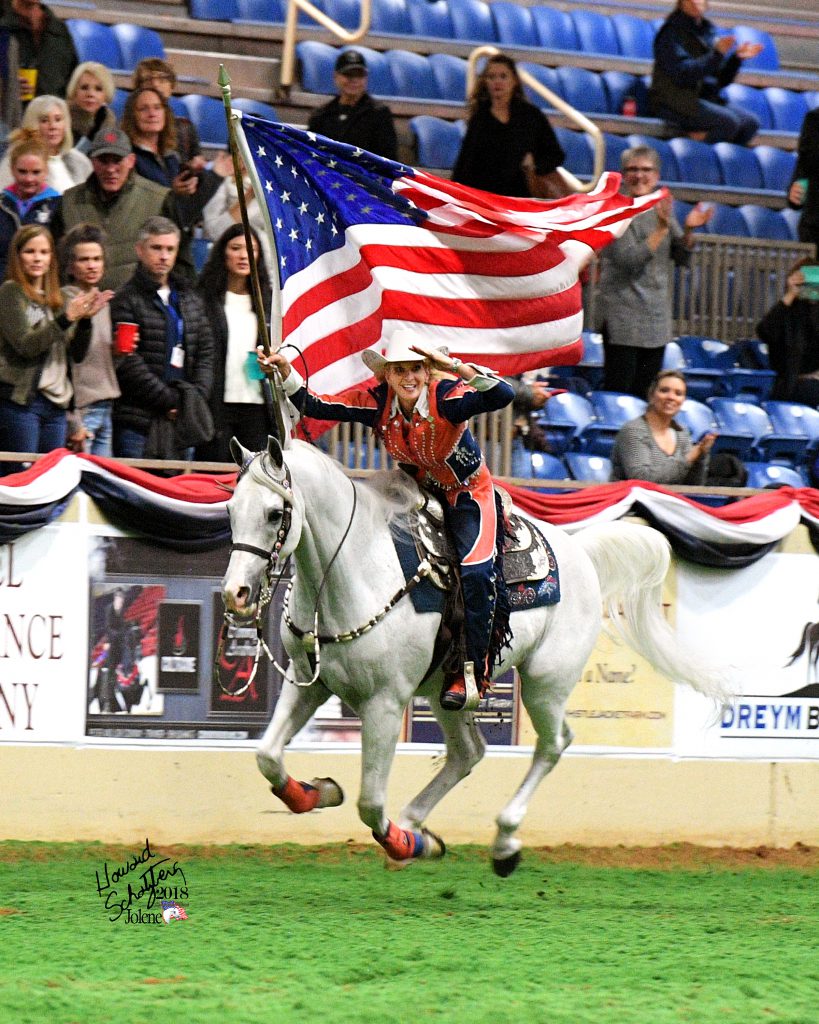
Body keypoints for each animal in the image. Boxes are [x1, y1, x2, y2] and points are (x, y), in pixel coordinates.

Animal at [219, 436, 728, 876]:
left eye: (274, 512)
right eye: (230, 508)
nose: (235, 594)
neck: (357, 570)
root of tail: (579, 552)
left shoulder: (384, 704)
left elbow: (370, 802)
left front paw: (402, 842)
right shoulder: (308, 682)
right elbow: (267, 756)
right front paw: (320, 793)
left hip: (546, 683)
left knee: (553, 743)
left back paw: (499, 842)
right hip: (448, 690)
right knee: (468, 752)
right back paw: (420, 825)